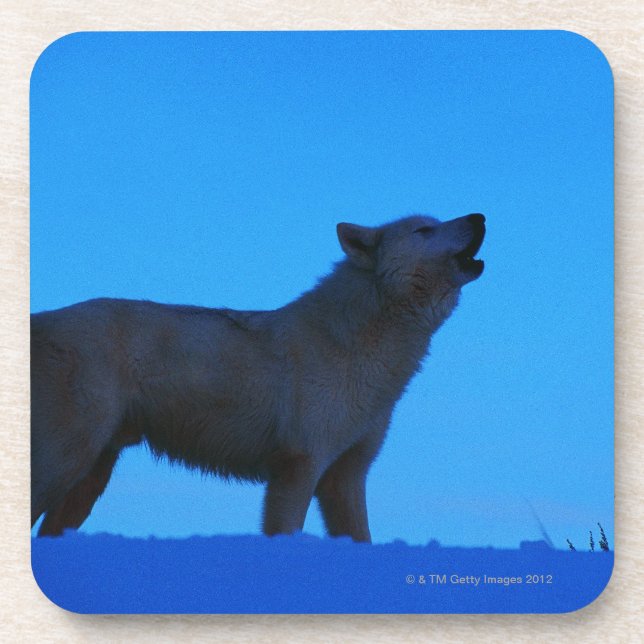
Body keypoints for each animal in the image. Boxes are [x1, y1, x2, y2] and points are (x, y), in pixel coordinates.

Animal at [31, 213, 485, 541]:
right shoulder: (299, 469)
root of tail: (42, 318)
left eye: (436, 221)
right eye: (424, 229)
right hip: (67, 462)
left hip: (88, 479)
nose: (480, 216)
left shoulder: (346, 478)